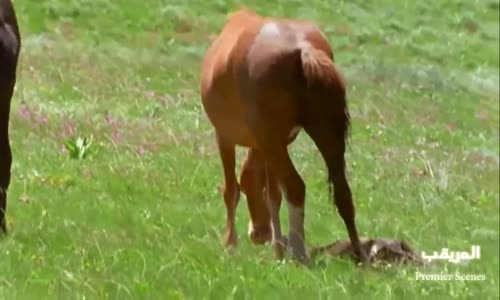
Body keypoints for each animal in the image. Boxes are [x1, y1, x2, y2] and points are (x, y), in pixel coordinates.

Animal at [199, 7, 368, 262]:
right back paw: (358, 254)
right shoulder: (270, 146)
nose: (258, 234)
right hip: (326, 137)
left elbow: (232, 190)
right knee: (342, 193)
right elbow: (273, 194)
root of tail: (303, 50)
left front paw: (230, 243)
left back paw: (298, 253)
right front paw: (276, 247)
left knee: (296, 186)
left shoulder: (227, 138)